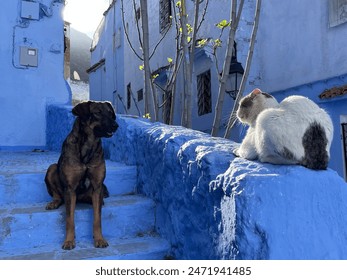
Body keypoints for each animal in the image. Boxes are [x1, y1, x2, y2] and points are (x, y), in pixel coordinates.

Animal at [44, 100, 119, 249]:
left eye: (110, 113)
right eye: (97, 113)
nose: (116, 125)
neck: (88, 146)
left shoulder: (97, 186)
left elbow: (97, 218)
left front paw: (99, 239)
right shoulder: (70, 189)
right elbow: (69, 219)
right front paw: (68, 241)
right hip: (52, 168)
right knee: (58, 195)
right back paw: (54, 202)